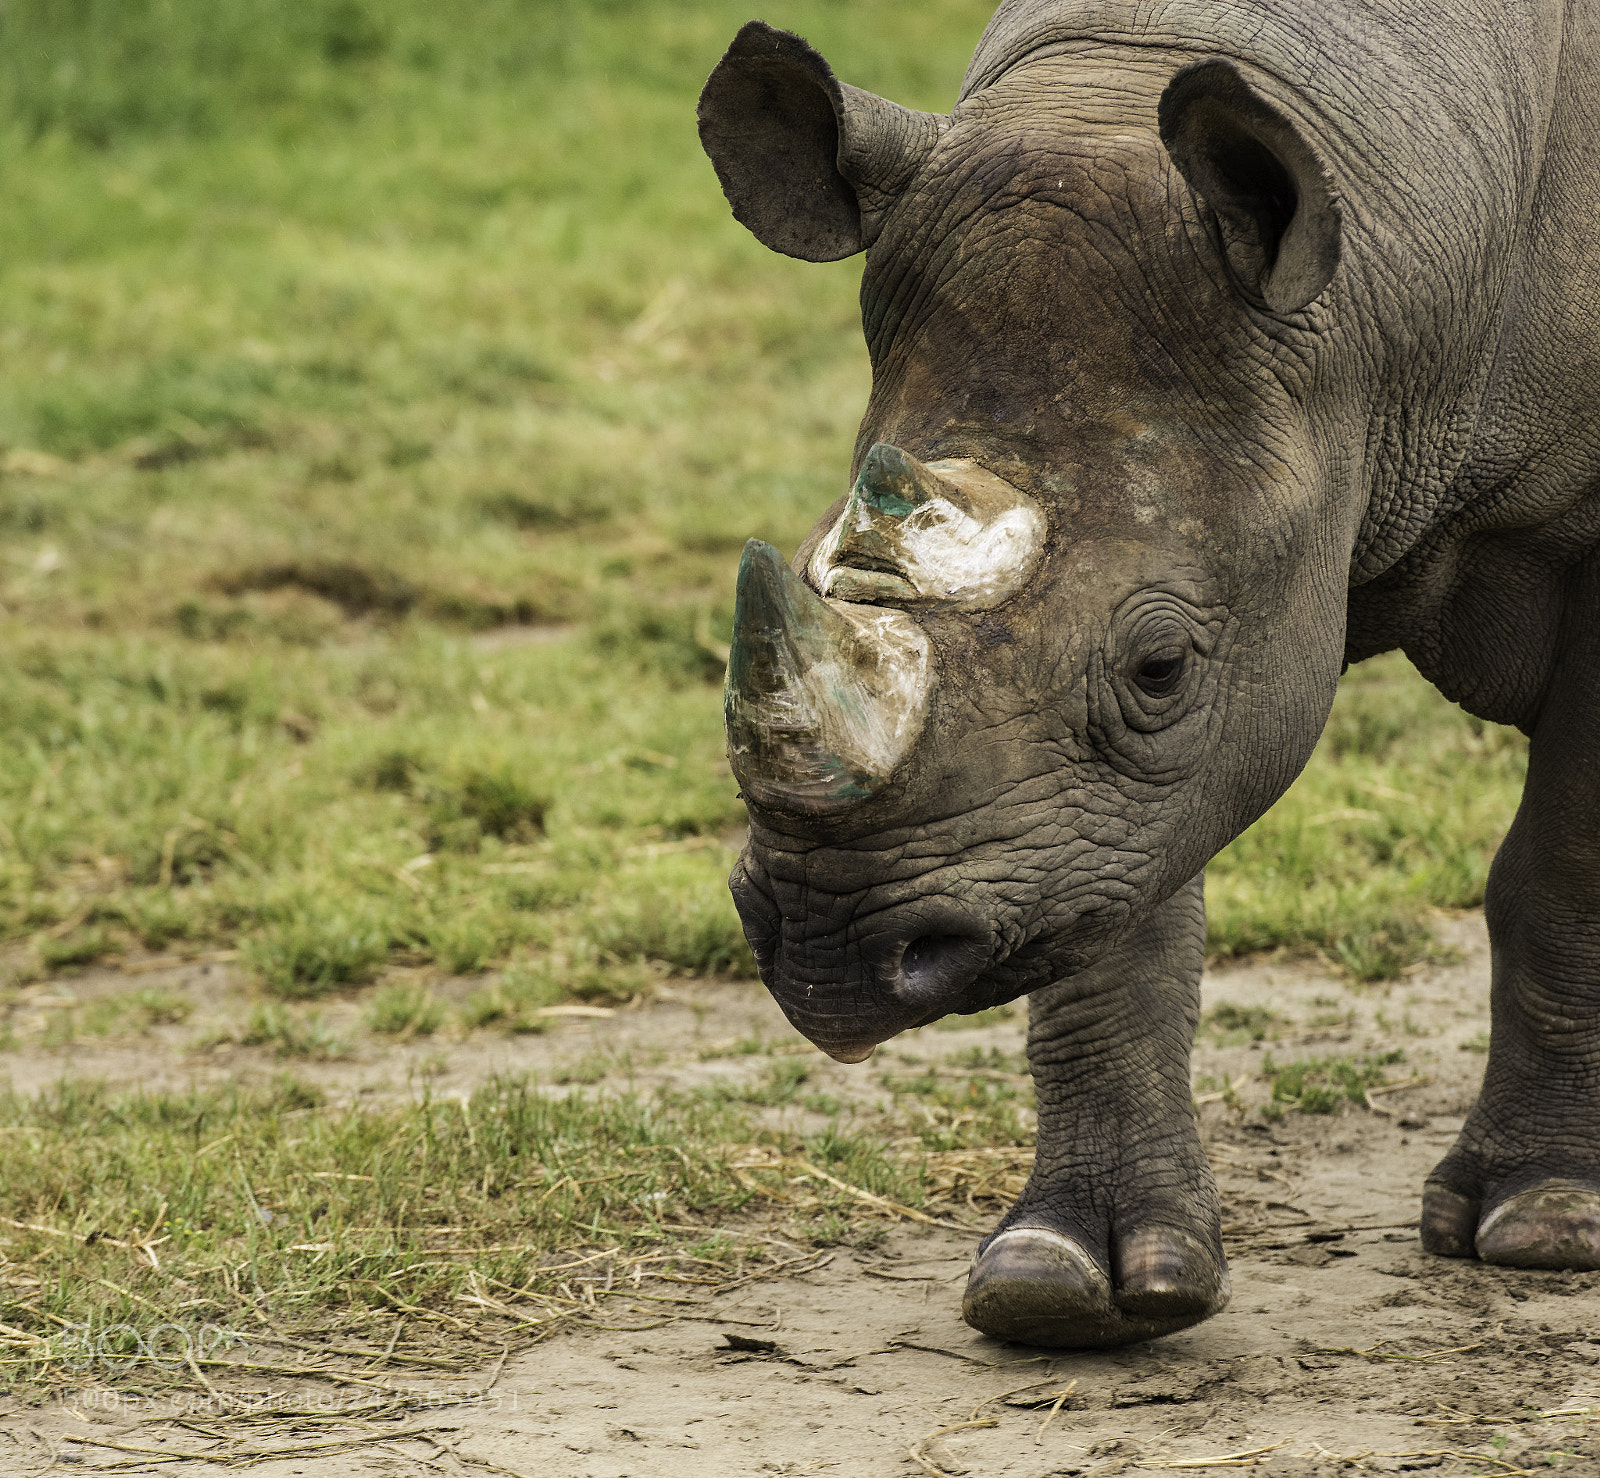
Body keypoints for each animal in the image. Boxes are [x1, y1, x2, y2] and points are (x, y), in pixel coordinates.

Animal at [697, 1, 1600, 1348]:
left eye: (1161, 664)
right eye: (821, 569)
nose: (830, 944)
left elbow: (1564, 863)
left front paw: (1545, 1219)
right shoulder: (1083, 801)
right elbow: (1108, 903)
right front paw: (1066, 1283)